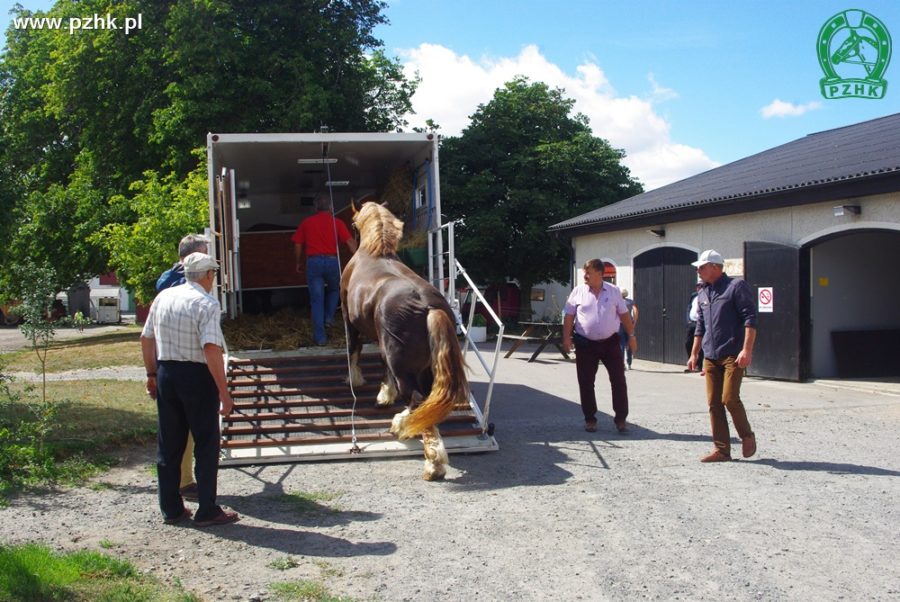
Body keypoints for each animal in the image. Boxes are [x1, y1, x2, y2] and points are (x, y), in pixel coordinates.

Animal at [340, 202, 472, 478]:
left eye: (353, 223)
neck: (373, 254)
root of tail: (428, 306)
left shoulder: (349, 321)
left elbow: (354, 349)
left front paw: (355, 380)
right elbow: (381, 364)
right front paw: (384, 396)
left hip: (405, 367)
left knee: (416, 400)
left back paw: (432, 463)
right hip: (428, 369)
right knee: (427, 404)